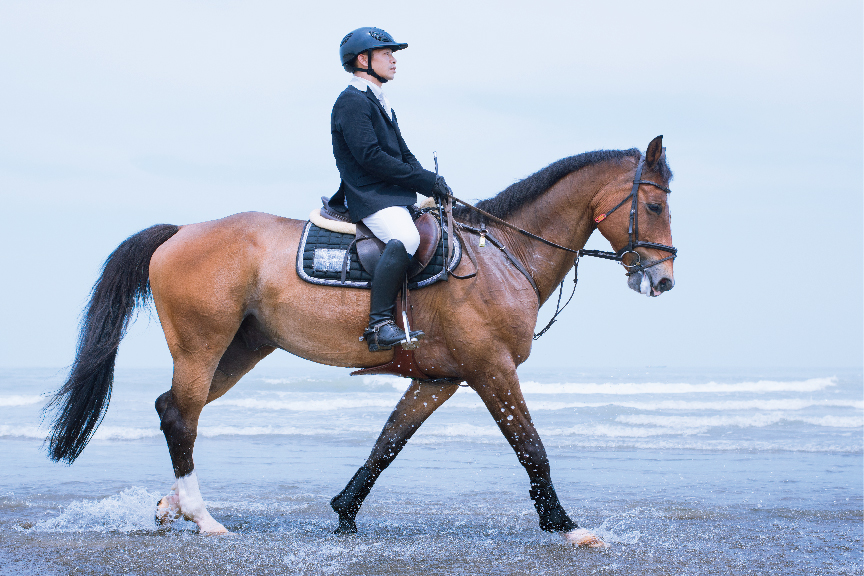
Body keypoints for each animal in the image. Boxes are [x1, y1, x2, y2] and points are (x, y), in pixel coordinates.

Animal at [46, 136, 676, 547]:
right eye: (653, 205)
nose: (663, 279)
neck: (500, 254)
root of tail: (182, 231)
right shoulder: (491, 368)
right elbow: (531, 446)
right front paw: (566, 526)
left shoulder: (439, 378)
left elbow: (387, 444)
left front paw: (345, 511)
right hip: (203, 345)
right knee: (182, 415)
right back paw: (202, 517)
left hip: (241, 350)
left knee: (173, 407)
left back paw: (171, 506)